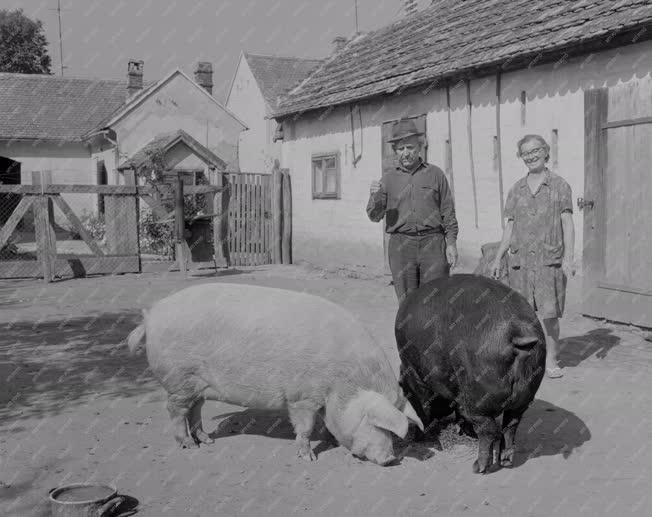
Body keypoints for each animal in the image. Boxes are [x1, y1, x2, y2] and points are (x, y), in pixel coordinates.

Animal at [127, 282, 422, 464]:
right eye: (375, 424)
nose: (391, 459)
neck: (343, 383)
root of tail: (151, 316)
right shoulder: (302, 397)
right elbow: (304, 427)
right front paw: (309, 458)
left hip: (196, 385)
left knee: (195, 410)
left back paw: (207, 441)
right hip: (179, 379)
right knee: (176, 411)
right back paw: (188, 445)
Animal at [398, 274, 544, 472]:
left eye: (403, 388)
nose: (401, 383)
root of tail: (517, 330)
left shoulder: (417, 379)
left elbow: (423, 408)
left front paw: (420, 438)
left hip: (479, 396)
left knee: (490, 430)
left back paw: (478, 467)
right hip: (525, 395)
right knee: (510, 425)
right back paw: (505, 461)